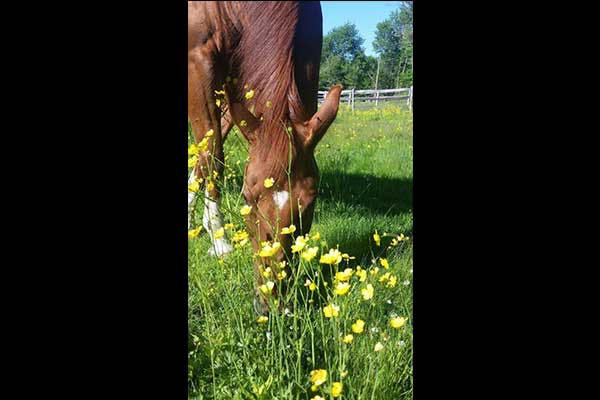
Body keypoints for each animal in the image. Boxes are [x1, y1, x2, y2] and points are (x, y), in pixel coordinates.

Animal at [188, 1, 342, 314]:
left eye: (311, 202)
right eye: (246, 197)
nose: (271, 305)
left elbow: (209, 147)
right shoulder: (198, 60)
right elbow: (211, 153)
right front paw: (219, 241)